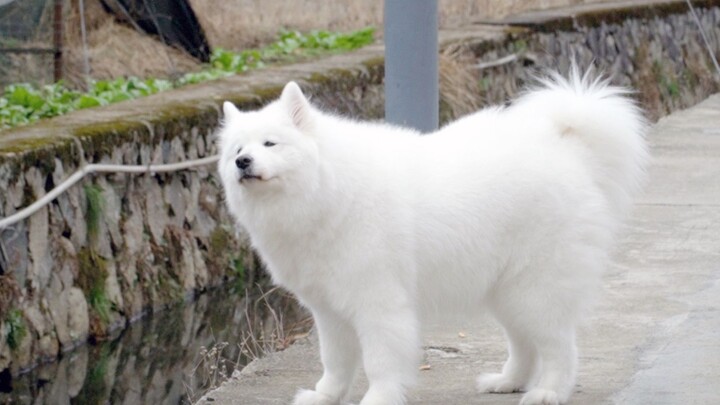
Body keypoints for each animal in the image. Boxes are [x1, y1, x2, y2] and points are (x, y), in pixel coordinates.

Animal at [217, 69, 648, 404]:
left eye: (270, 143)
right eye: (237, 149)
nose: (243, 162)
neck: (327, 189)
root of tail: (567, 149)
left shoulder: (378, 303)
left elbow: (379, 361)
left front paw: (378, 398)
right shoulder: (329, 311)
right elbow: (335, 362)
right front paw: (325, 396)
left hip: (535, 289)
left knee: (559, 347)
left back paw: (548, 392)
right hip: (506, 292)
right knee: (524, 344)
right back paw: (507, 382)